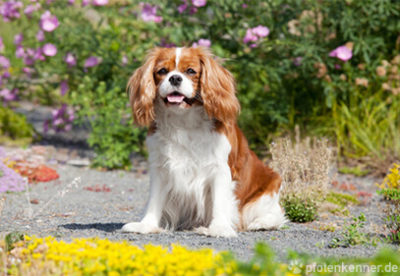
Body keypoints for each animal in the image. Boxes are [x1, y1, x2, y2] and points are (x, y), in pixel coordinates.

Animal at [122, 47, 284, 237]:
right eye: (162, 71)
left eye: (191, 71)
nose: (175, 78)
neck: (184, 120)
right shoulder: (160, 168)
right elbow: (154, 200)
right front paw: (146, 225)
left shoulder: (220, 169)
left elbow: (219, 201)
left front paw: (219, 228)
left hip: (269, 187)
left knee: (277, 214)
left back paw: (261, 223)